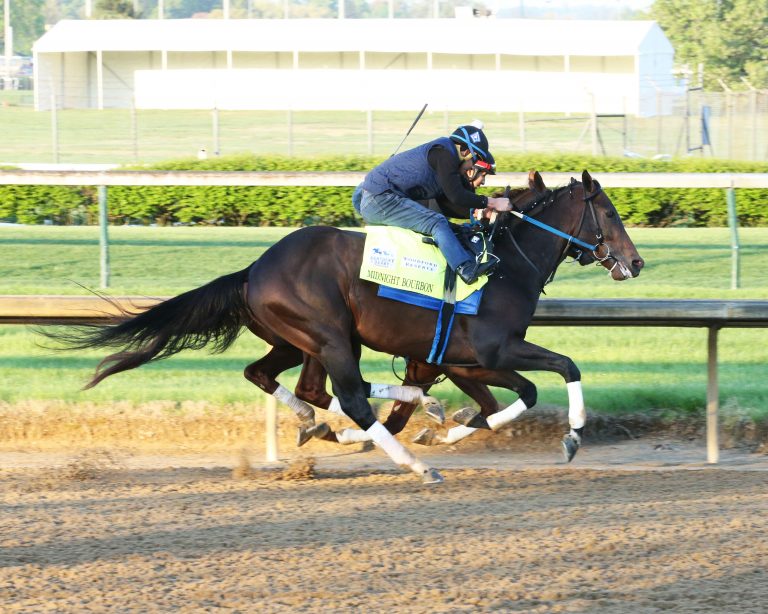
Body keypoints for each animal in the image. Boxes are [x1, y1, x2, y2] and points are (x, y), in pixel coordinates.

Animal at [49, 171, 640, 484]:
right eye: (611, 214)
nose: (634, 263)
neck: (505, 263)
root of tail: (255, 269)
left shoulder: (464, 361)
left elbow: (507, 401)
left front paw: (444, 427)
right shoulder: (492, 351)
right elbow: (562, 369)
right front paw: (573, 436)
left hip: (300, 340)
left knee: (280, 379)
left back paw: (334, 422)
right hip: (330, 334)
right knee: (349, 394)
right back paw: (412, 462)